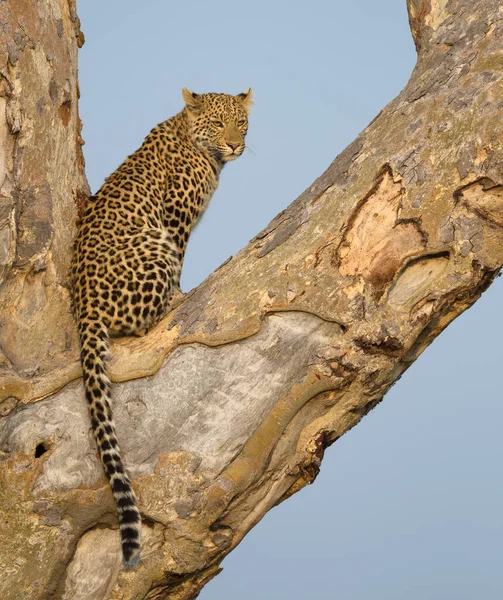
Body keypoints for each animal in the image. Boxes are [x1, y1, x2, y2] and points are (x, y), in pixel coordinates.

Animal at [70, 88, 252, 568]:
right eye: (217, 123)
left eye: (241, 122)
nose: (236, 145)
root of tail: (84, 308)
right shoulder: (174, 220)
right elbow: (181, 258)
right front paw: (180, 292)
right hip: (152, 244)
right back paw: (174, 302)